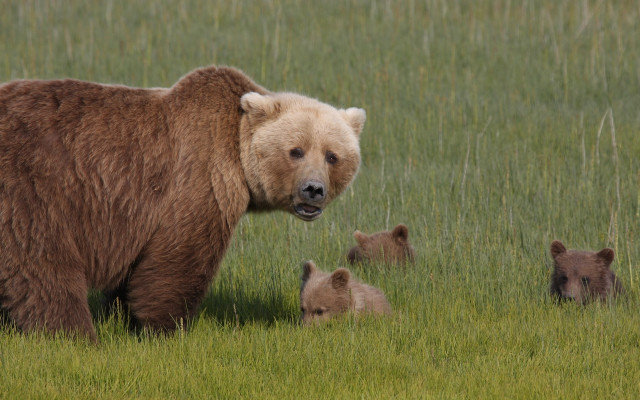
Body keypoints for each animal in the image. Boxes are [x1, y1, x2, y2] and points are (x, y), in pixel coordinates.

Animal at [0, 65, 366, 341]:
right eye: (296, 151)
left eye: (332, 155)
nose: (313, 190)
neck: (237, 153)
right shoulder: (200, 179)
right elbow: (178, 260)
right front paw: (164, 328)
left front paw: (121, 313)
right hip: (35, 187)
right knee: (42, 263)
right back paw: (74, 333)